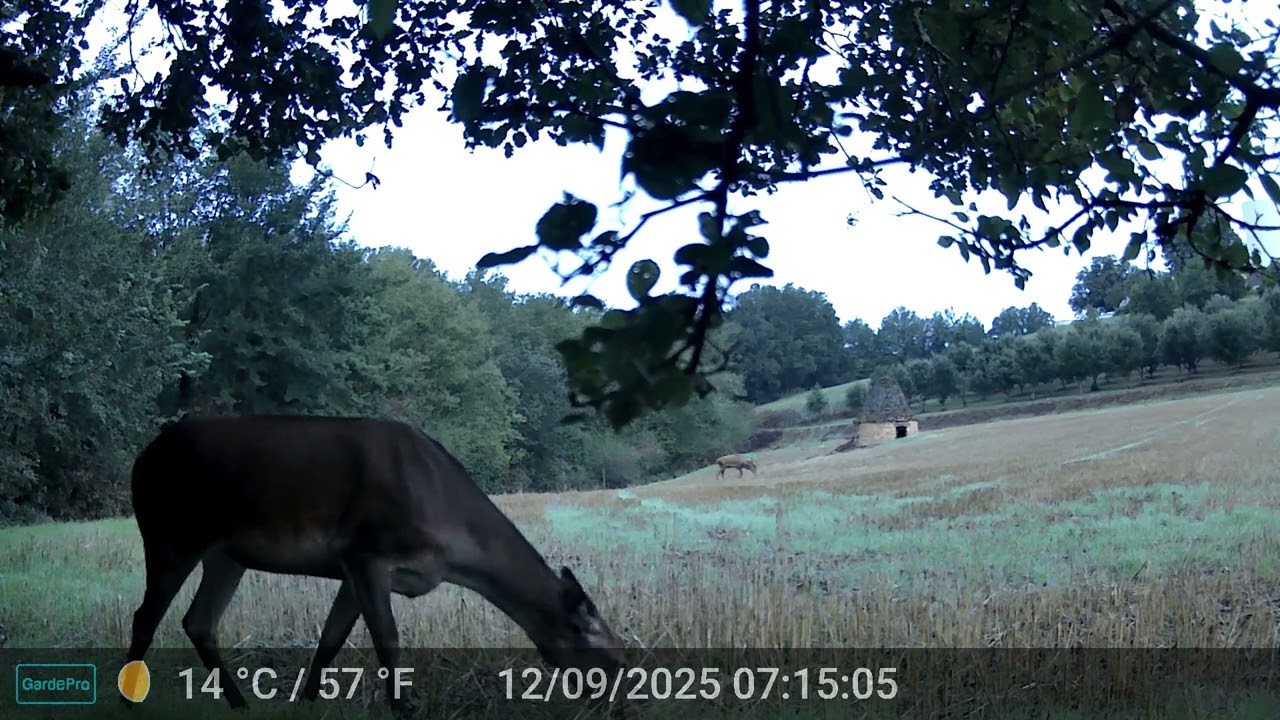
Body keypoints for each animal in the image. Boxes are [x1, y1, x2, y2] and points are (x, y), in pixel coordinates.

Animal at [123, 415, 626, 716]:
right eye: (612, 659)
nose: (619, 704)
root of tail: (141, 457)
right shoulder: (365, 548)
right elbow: (387, 638)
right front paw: (404, 707)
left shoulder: (350, 567)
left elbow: (331, 638)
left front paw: (307, 701)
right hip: (170, 532)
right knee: (145, 615)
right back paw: (130, 702)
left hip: (226, 553)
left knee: (198, 620)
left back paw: (239, 703)